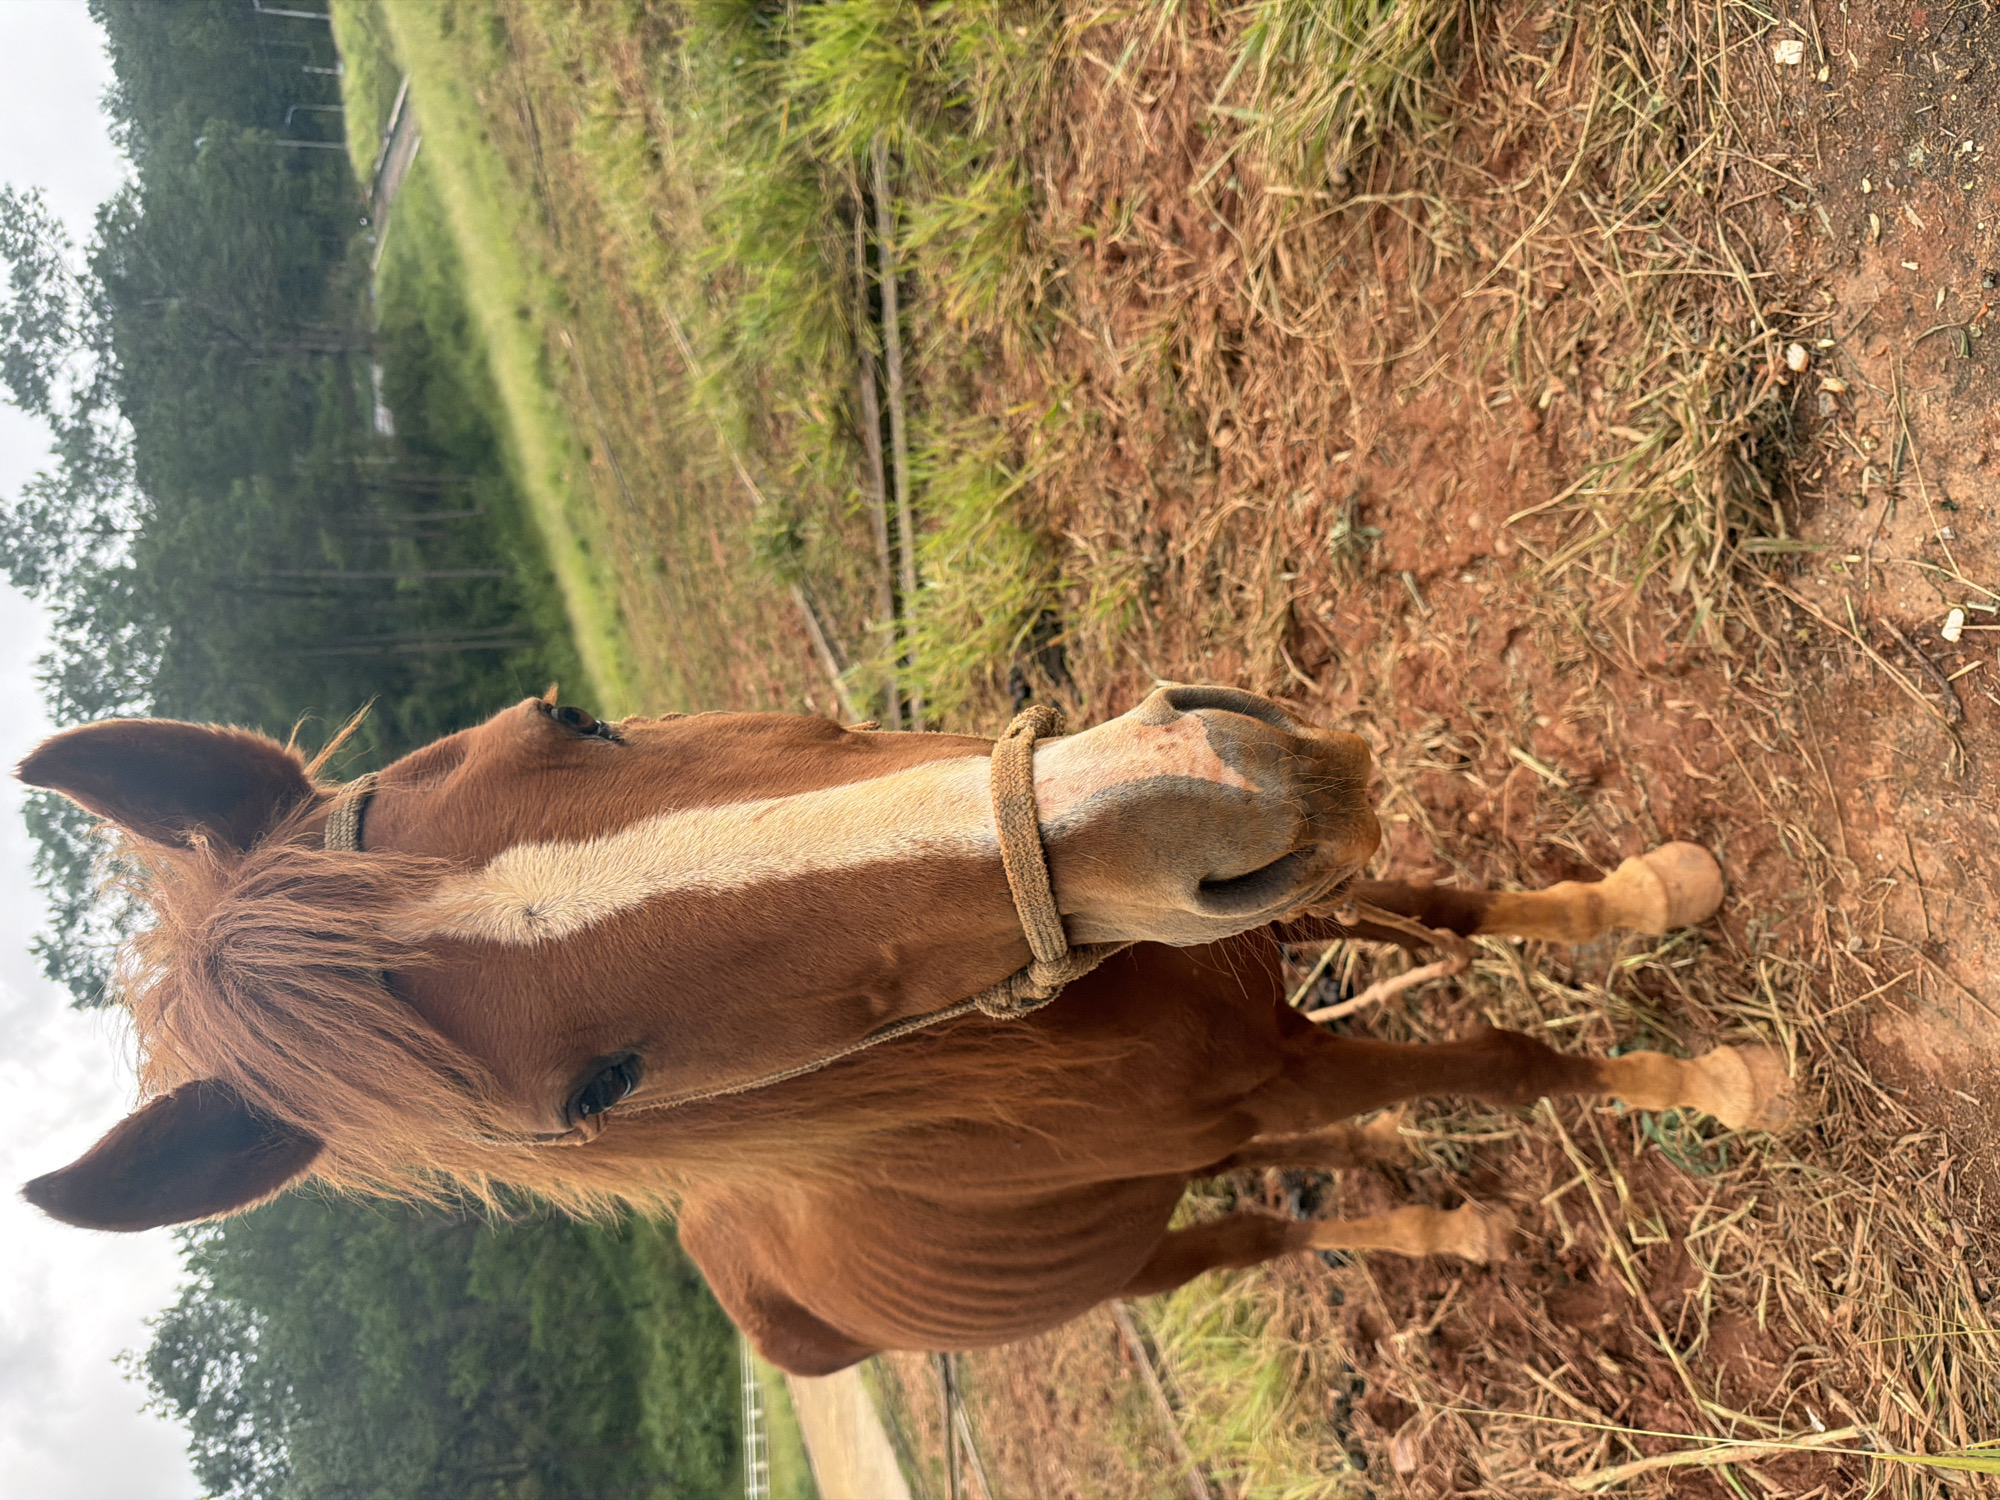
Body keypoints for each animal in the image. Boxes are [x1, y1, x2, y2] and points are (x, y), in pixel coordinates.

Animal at [20, 685, 1787, 1374]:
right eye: (599, 1089)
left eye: (569, 714)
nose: (1204, 793)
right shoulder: (1268, 1058)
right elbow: (1517, 1061)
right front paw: (1720, 1080)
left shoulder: (1261, 942)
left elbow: (1454, 910)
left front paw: (1658, 889)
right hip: (1132, 1257)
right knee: (1255, 1237)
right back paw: (1449, 1224)